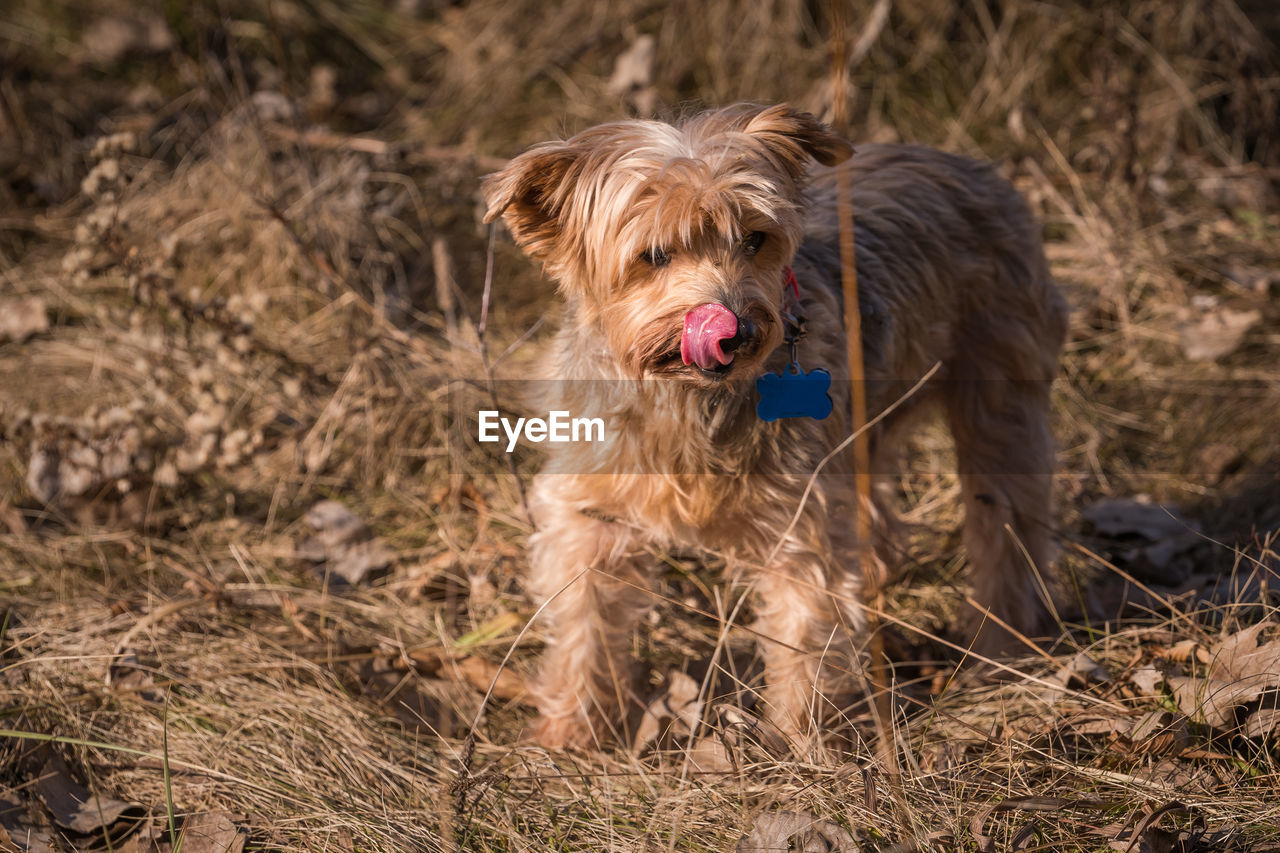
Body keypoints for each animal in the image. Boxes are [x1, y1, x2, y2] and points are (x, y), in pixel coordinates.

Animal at [483, 104, 1064, 742]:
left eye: (754, 239)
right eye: (654, 255)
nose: (734, 328)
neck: (687, 399)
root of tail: (967, 163)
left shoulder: (801, 525)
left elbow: (804, 636)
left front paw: (797, 746)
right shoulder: (590, 512)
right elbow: (583, 626)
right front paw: (567, 736)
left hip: (998, 387)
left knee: (1005, 520)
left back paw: (1000, 644)